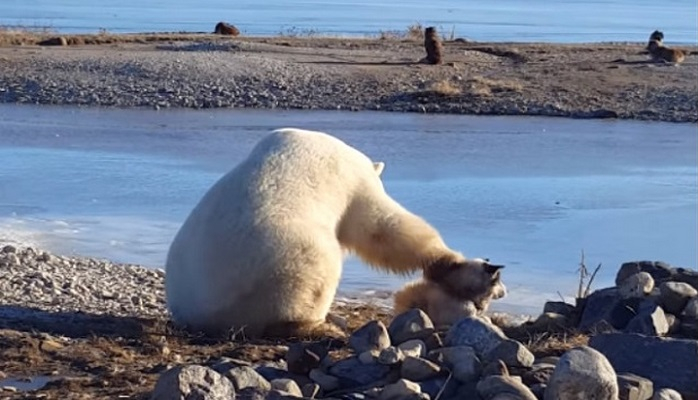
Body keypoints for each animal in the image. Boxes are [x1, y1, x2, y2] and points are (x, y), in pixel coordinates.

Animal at [164, 129, 490, 338]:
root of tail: (199, 313)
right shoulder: (353, 182)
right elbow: (381, 227)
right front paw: (462, 267)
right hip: (279, 258)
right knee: (316, 269)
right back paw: (323, 326)